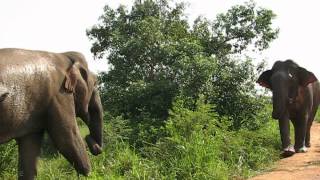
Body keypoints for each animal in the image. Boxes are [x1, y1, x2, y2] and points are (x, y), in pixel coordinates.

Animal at [0, 48, 104, 179]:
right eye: (95, 83)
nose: (89, 138)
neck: (64, 55)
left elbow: (29, 150)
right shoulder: (59, 95)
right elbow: (68, 138)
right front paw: (90, 175)